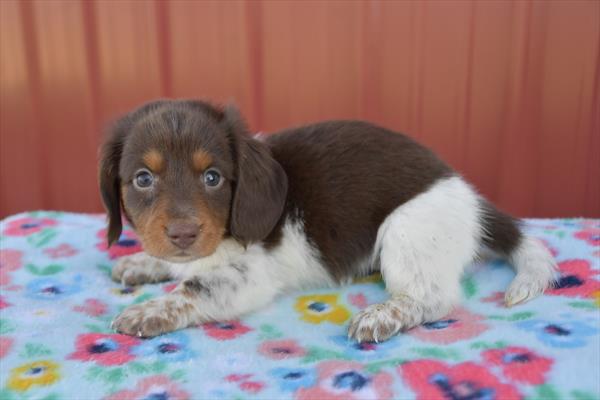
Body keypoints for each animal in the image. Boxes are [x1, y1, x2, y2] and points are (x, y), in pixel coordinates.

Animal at [99, 98, 556, 342]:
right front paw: (142, 263)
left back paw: (382, 315)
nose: (183, 234)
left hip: (407, 230)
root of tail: (468, 195)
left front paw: (147, 312)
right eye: (143, 179)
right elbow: (175, 264)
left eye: (212, 177)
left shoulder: (249, 275)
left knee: (432, 297)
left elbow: (192, 288)